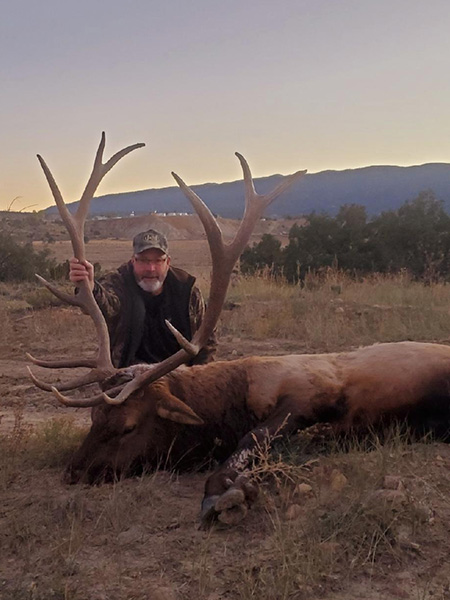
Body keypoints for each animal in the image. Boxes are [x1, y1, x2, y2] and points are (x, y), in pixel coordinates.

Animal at [27, 135, 450, 524]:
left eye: (128, 427)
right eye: (94, 419)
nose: (73, 472)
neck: (230, 403)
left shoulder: (309, 392)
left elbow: (253, 440)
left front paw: (230, 493)